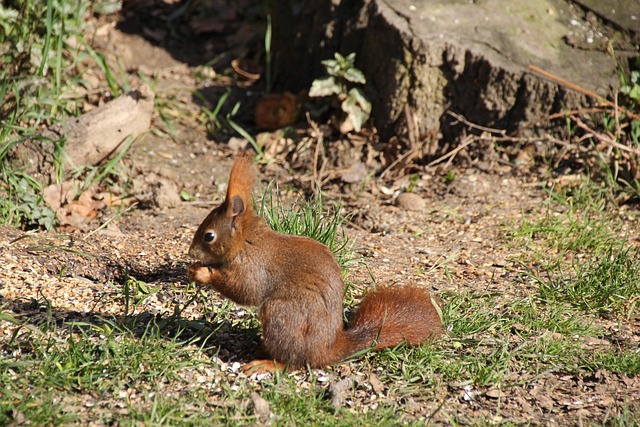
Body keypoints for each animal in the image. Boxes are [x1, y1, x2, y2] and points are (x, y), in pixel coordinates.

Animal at [187, 153, 443, 373]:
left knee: (295, 362)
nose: (191, 252)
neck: (247, 241)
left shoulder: (254, 268)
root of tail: (326, 350)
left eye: (209, 236)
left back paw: (268, 364)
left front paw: (201, 272)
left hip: (283, 315)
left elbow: (245, 290)